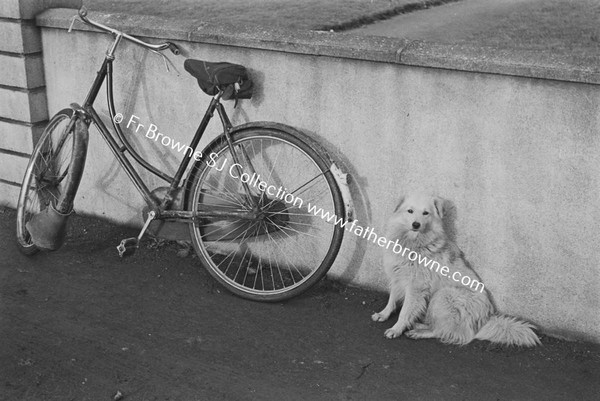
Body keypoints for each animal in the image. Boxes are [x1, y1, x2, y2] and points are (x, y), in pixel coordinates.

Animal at [372, 192, 540, 346]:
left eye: (426, 213)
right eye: (410, 211)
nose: (416, 224)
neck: (413, 244)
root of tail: (486, 318)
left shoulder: (416, 288)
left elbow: (405, 311)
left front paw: (396, 329)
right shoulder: (397, 276)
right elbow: (392, 299)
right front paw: (383, 314)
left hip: (444, 295)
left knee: (453, 332)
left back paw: (419, 331)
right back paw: (421, 324)